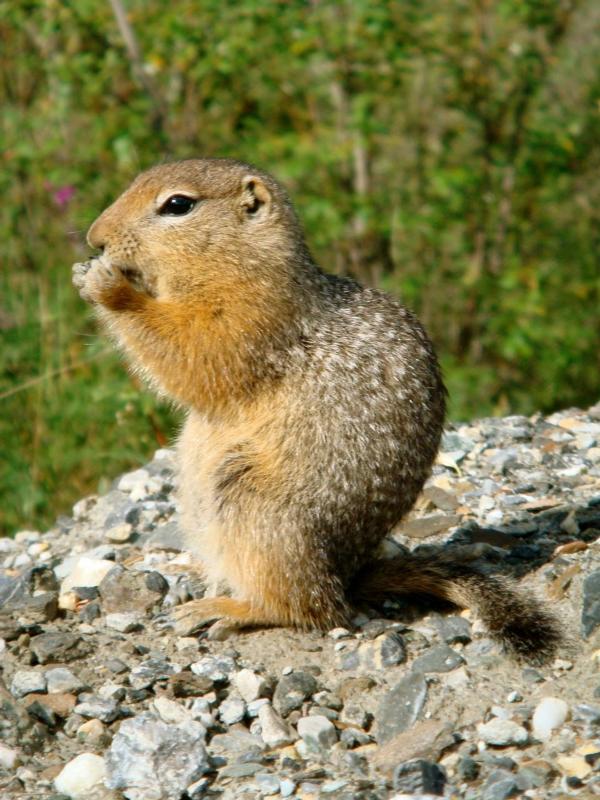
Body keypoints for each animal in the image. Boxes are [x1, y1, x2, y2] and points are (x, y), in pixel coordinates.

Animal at [71, 158, 564, 664]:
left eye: (177, 204)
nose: (95, 238)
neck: (244, 263)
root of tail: (346, 578)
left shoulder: (252, 316)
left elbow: (195, 351)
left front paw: (106, 284)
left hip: (258, 508)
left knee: (313, 610)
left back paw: (225, 609)